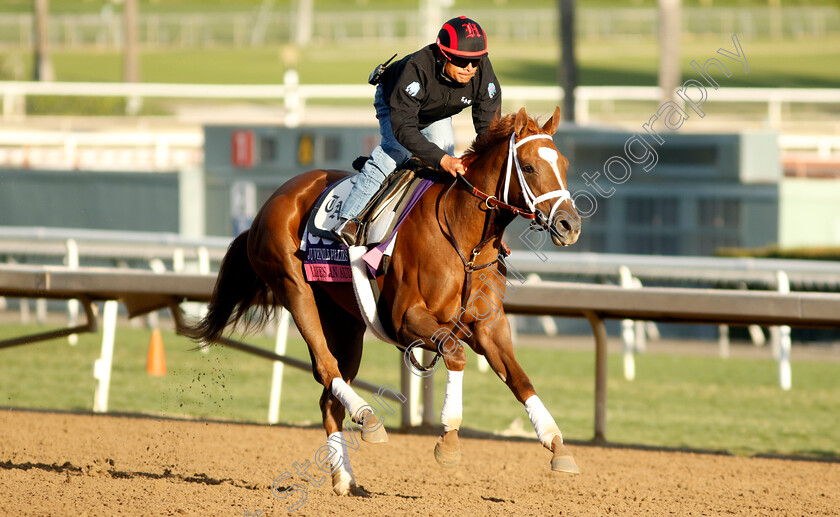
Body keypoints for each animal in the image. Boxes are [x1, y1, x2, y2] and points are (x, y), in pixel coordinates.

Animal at [193, 106, 580, 496]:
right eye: (528, 167)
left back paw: (345, 479)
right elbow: (455, 354)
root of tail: (271, 202)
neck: (463, 239)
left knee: (330, 395)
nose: (569, 225)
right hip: (294, 288)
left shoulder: (489, 327)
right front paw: (448, 440)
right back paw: (368, 418)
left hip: (345, 320)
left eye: (563, 163)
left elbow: (520, 379)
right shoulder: (406, 319)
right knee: (326, 367)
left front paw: (557, 444)